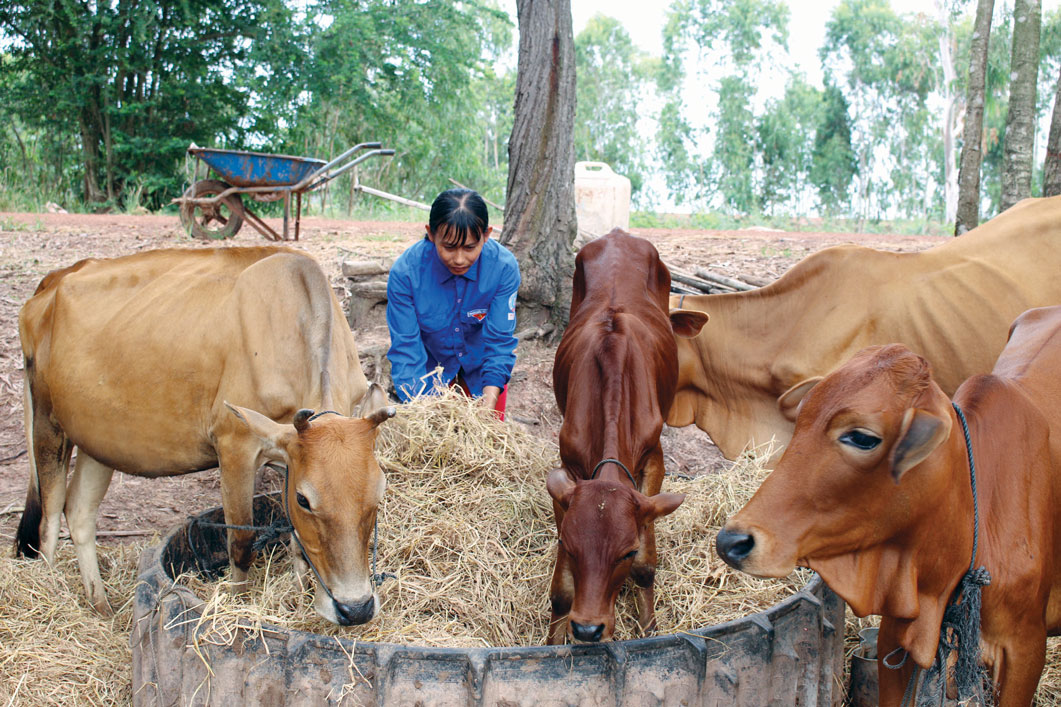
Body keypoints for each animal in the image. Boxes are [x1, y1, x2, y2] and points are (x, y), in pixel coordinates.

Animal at [14, 246, 396, 624]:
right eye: (304, 499)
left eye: (379, 493)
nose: (356, 608)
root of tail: (56, 278)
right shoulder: (236, 444)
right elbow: (240, 546)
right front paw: (239, 605)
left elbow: (296, 543)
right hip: (47, 422)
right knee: (48, 521)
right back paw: (51, 595)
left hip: (99, 440)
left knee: (79, 511)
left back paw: (100, 606)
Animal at [543, 228, 708, 641]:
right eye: (569, 546)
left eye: (627, 551)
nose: (588, 629)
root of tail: (618, 234)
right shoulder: (567, 473)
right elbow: (561, 591)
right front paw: (553, 641)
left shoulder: (654, 460)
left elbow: (647, 567)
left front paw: (649, 629)